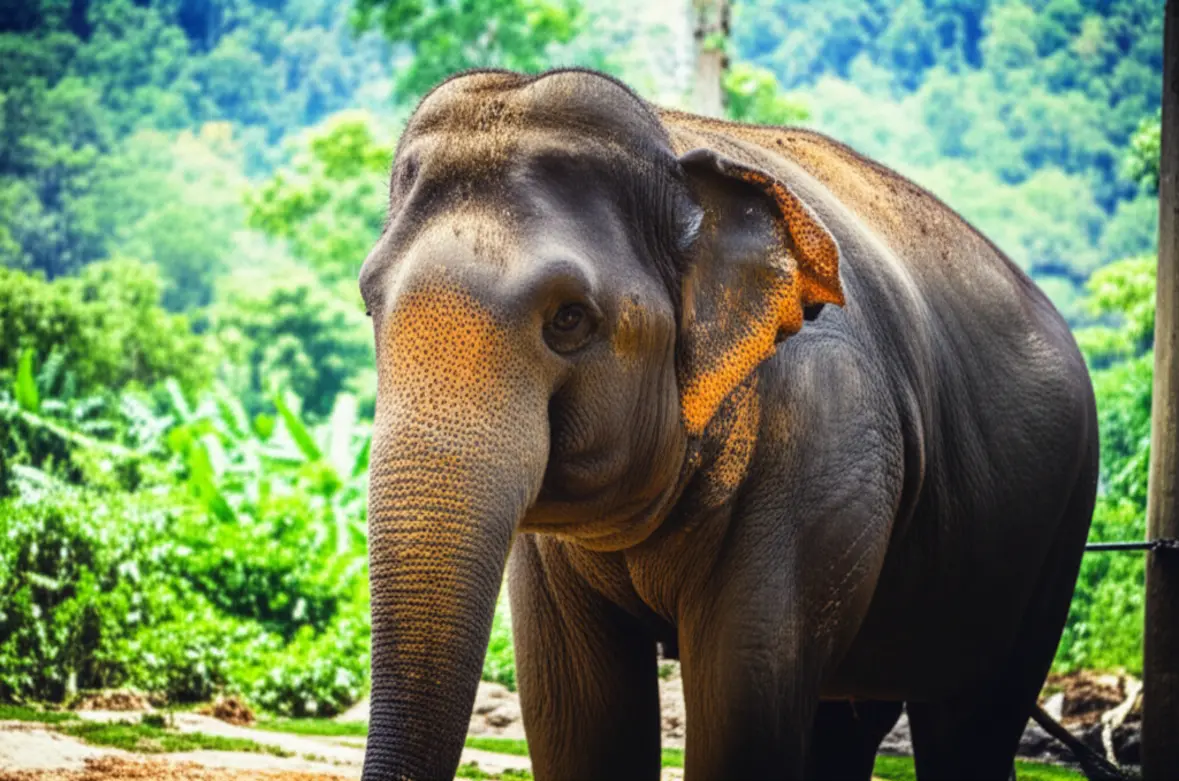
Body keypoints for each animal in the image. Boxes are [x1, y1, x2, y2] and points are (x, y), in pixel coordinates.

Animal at [357, 68, 1099, 781]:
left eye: (569, 318)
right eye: (370, 303)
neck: (673, 150)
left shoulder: (821, 440)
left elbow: (744, 696)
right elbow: (582, 725)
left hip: (1053, 532)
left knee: (971, 720)